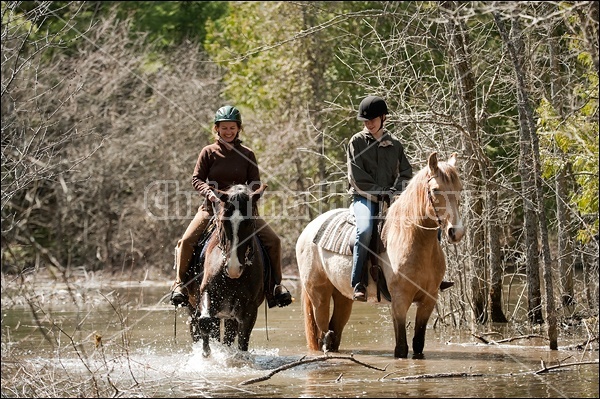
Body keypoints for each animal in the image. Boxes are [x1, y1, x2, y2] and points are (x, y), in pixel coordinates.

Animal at [185, 184, 264, 356]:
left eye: (249, 223)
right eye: (223, 222)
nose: (234, 268)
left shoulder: (249, 309)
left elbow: (243, 340)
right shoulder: (207, 292)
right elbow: (205, 322)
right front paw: (207, 354)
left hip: (230, 315)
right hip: (192, 306)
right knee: (198, 328)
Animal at [296, 152, 464, 360]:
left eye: (459, 188)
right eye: (435, 190)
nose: (456, 232)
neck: (413, 239)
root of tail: (309, 229)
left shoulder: (429, 299)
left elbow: (418, 345)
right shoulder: (400, 301)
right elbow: (401, 348)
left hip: (343, 296)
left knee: (334, 332)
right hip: (319, 294)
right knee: (323, 334)